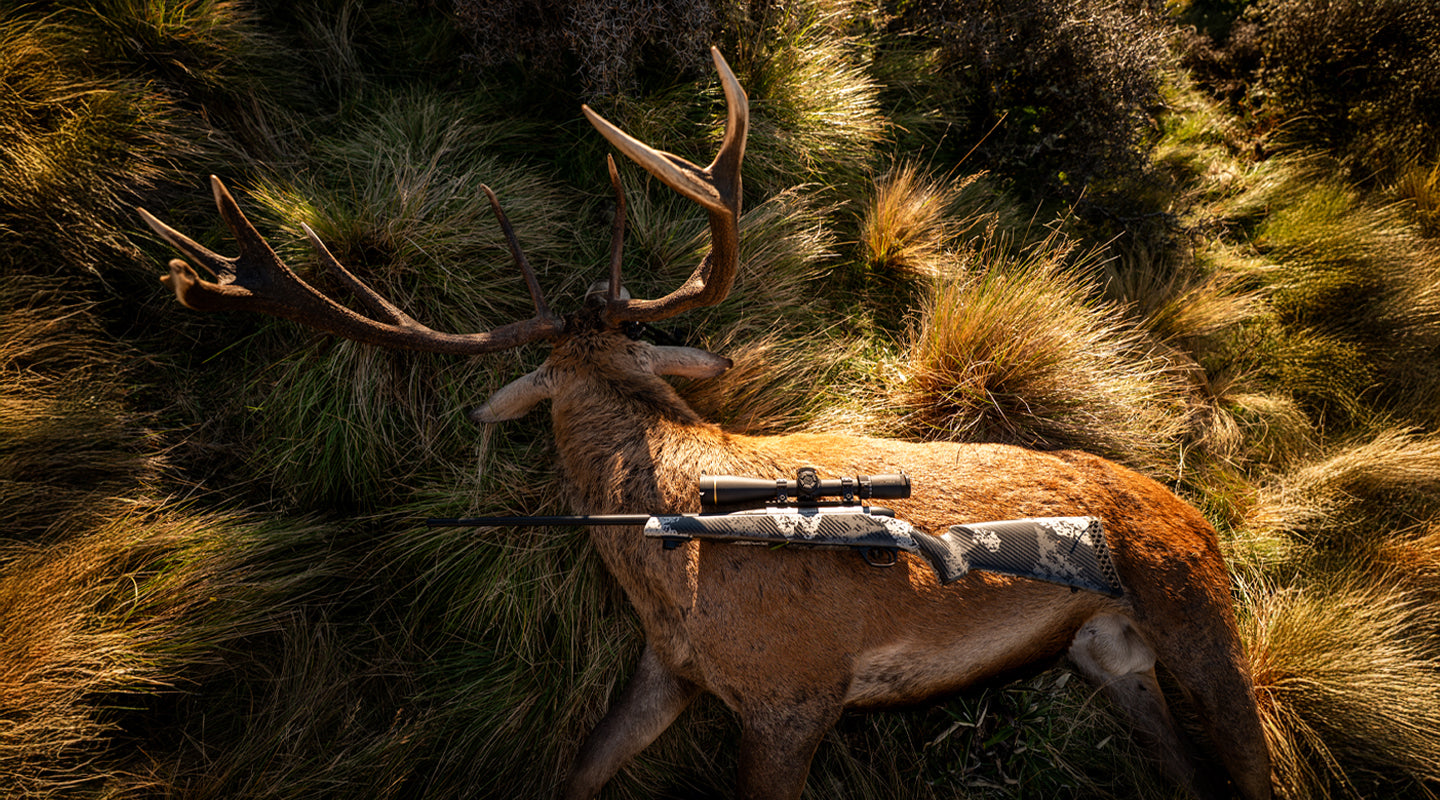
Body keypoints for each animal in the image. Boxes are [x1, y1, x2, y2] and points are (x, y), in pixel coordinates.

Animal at [138, 48, 1272, 800]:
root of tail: (1197, 512)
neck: (670, 568)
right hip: (1108, 655)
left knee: (1251, 760)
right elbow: (578, 767)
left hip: (1198, 617)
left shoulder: (794, 690)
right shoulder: (665, 669)